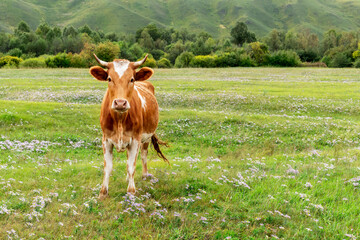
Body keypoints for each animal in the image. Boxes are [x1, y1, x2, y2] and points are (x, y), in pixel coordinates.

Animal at [90, 54, 169, 199]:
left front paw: (131, 191)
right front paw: (103, 193)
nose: (120, 103)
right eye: (109, 78)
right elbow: (108, 167)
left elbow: (131, 166)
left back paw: (144, 175)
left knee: (143, 155)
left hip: (146, 138)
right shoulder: (106, 139)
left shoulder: (136, 140)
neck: (120, 119)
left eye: (131, 79)